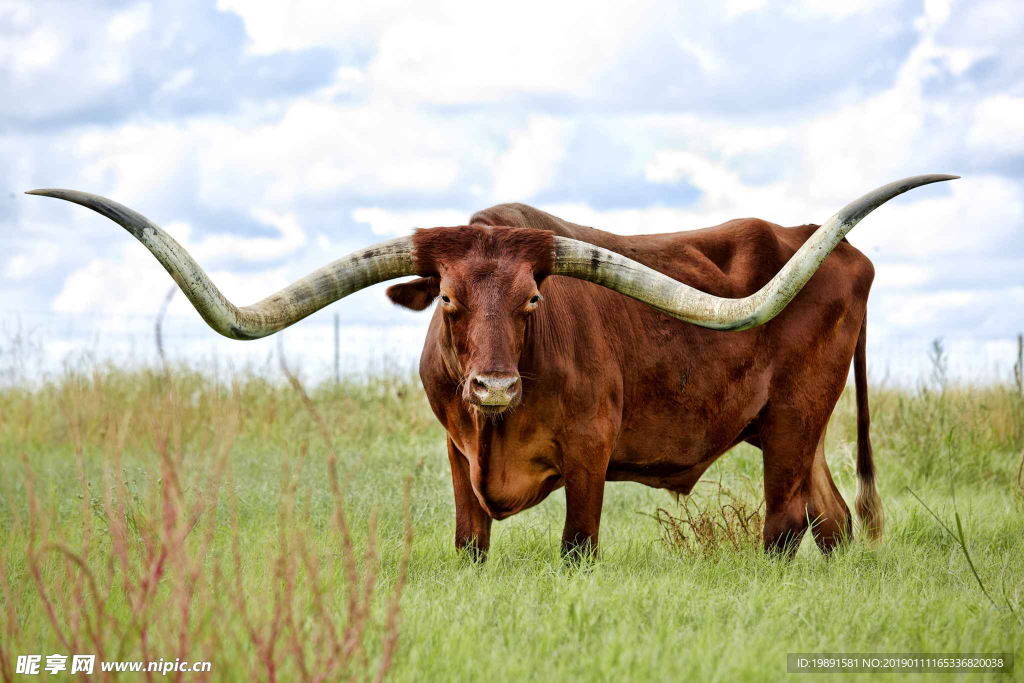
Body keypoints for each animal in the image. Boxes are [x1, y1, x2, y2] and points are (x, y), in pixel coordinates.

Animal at [34, 172, 958, 561]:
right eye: (447, 298)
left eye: (534, 299)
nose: (495, 384)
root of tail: (843, 253)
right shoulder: (455, 456)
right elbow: (468, 544)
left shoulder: (590, 454)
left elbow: (578, 548)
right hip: (796, 431)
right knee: (831, 519)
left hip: (796, 420)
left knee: (784, 526)